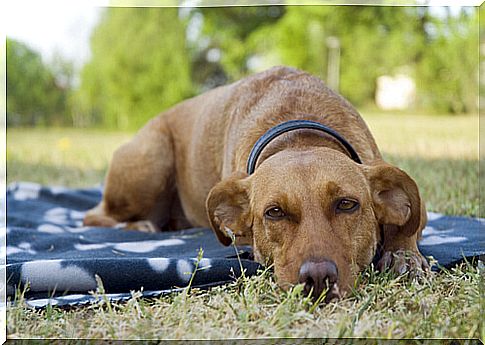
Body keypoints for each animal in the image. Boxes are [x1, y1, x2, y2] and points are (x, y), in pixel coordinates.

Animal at [83, 65, 428, 300]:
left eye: (347, 204)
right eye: (274, 212)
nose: (318, 278)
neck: (299, 134)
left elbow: (408, 227)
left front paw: (403, 253)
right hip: (151, 159)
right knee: (94, 215)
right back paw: (138, 226)